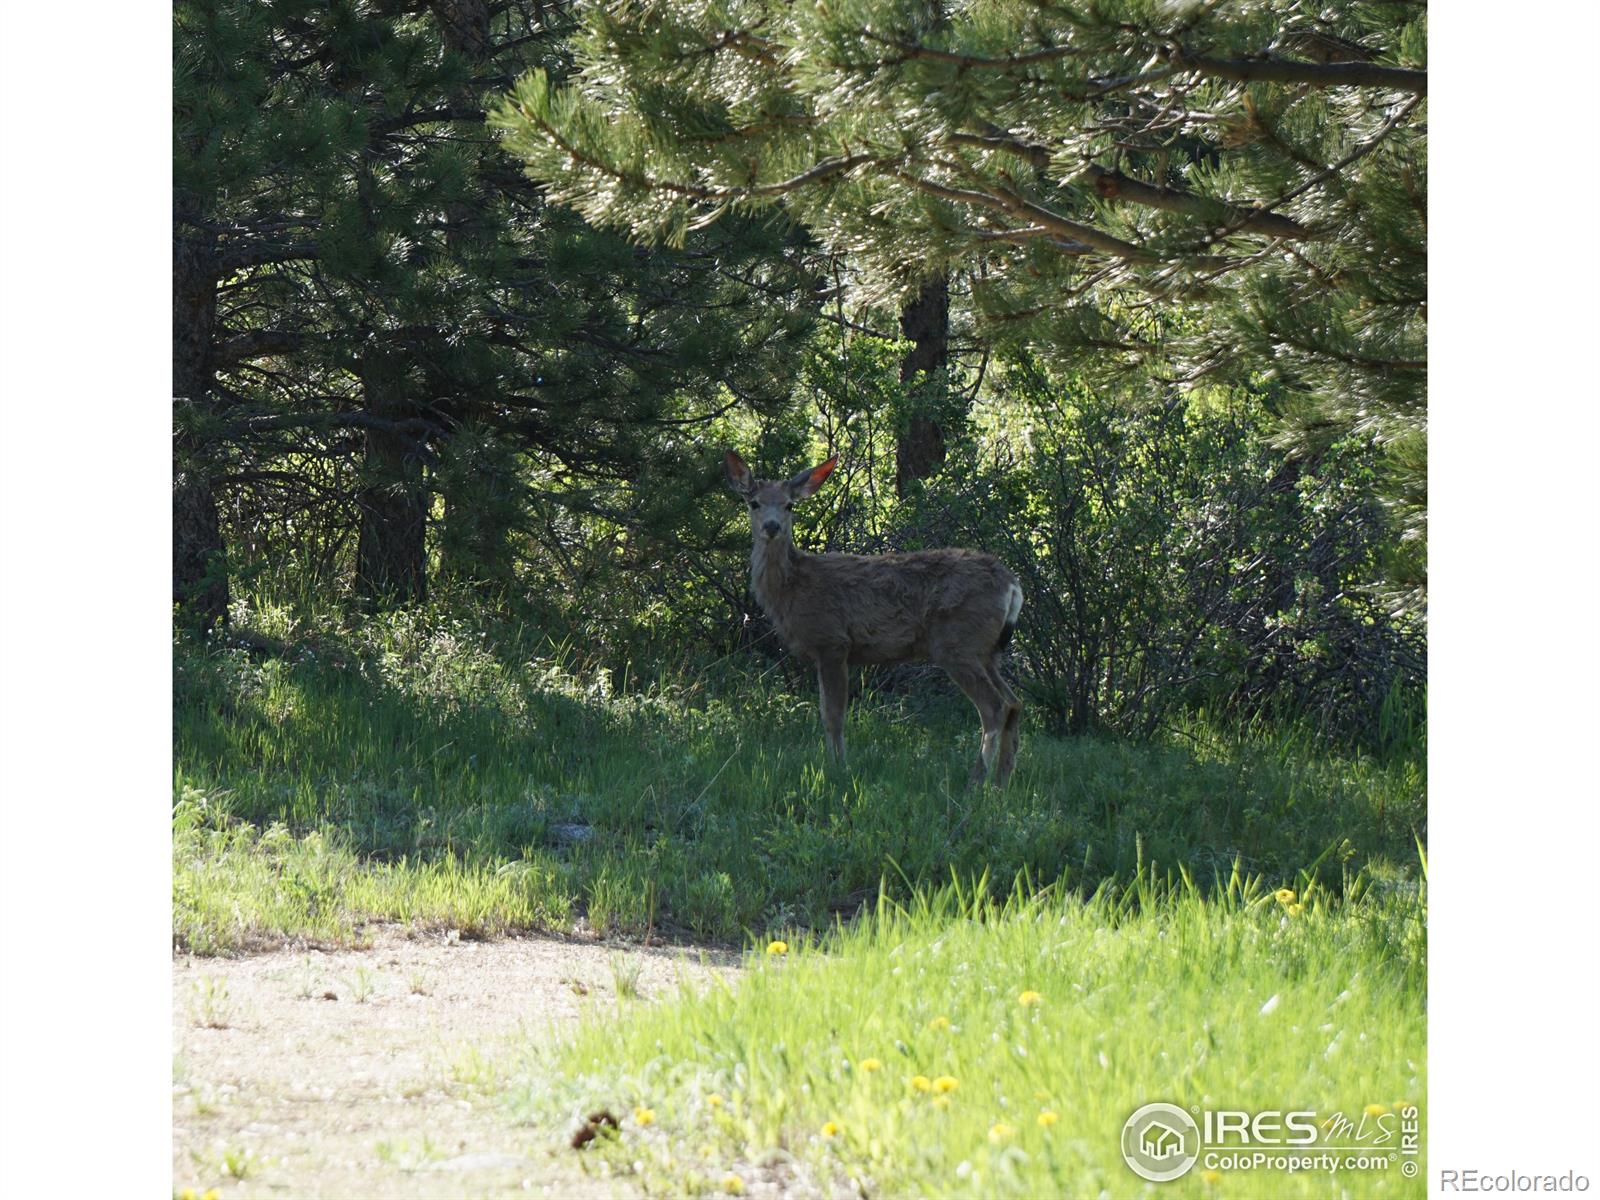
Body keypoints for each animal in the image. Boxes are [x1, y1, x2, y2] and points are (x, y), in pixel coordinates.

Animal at [726, 451, 1024, 790]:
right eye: (754, 503)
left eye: (789, 504)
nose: (772, 526)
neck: (793, 587)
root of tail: (1012, 584)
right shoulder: (824, 651)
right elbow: (826, 711)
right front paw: (834, 763)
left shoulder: (832, 641)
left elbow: (833, 714)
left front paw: (838, 767)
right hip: (987, 650)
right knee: (1014, 703)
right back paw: (1002, 781)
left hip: (957, 643)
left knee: (994, 706)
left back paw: (977, 781)